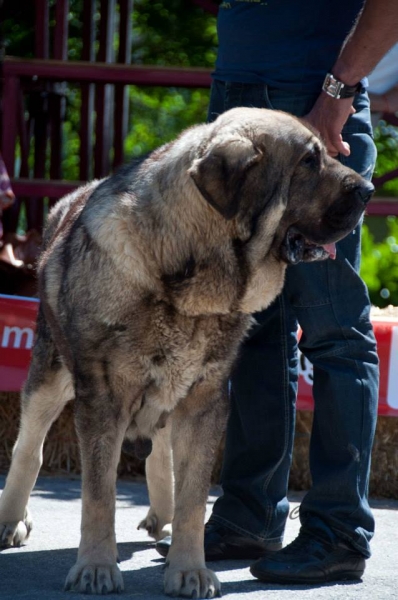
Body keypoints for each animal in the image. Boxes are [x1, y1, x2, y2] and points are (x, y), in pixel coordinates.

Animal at [0, 106, 374, 596]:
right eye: (308, 162)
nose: (368, 190)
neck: (188, 267)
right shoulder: (103, 398)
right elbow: (99, 494)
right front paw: (96, 567)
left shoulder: (203, 401)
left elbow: (194, 498)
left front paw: (189, 568)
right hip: (52, 372)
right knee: (29, 446)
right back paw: (11, 520)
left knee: (159, 452)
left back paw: (163, 514)